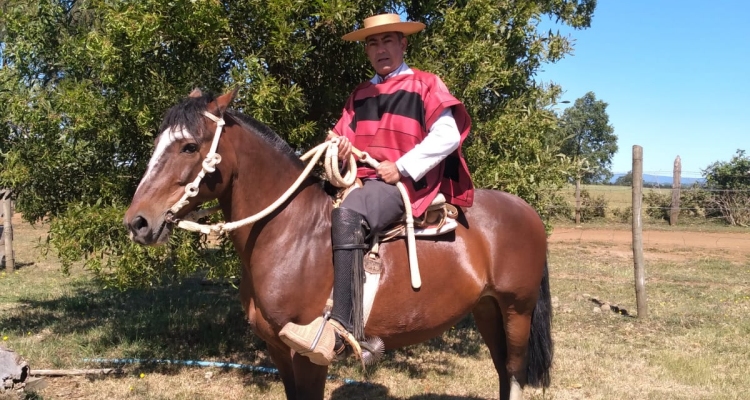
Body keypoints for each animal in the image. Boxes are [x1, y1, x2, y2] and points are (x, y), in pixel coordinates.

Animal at [125, 90, 552, 400]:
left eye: (189, 147)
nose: (138, 222)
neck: (288, 232)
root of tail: (526, 211)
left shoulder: (310, 356)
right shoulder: (278, 351)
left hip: (517, 310)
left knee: (513, 374)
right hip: (487, 309)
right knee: (501, 372)